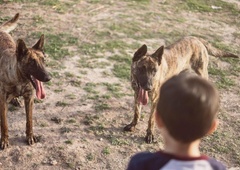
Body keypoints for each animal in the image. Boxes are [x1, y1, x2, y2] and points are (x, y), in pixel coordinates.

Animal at [0, 13, 51, 149]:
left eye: (43, 60)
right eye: (32, 63)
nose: (48, 78)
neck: (19, 80)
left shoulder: (29, 98)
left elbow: (29, 121)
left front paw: (30, 136)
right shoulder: (2, 101)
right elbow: (4, 124)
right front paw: (4, 140)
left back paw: (15, 99)